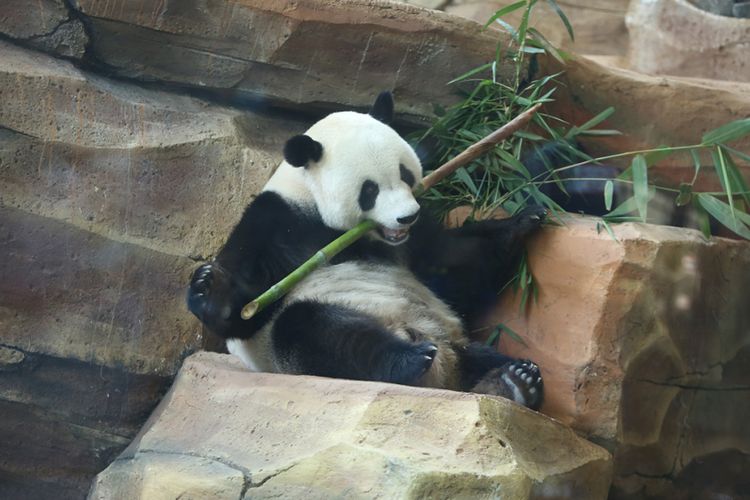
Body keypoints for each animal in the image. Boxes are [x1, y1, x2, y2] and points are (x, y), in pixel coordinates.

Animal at [188, 92, 548, 408]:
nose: (407, 216)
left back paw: (513, 382)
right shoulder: (276, 223)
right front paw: (208, 287)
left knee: (486, 359)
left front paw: (525, 220)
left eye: (405, 173)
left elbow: (450, 264)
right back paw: (411, 359)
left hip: (457, 343)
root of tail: (443, 374)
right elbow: (245, 310)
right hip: (300, 349)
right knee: (312, 330)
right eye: (369, 190)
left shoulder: (414, 240)